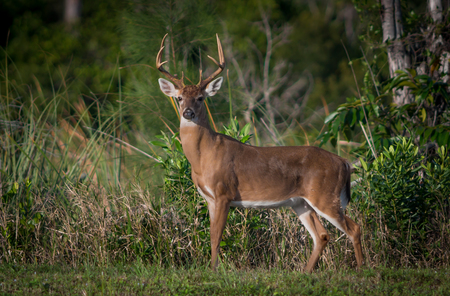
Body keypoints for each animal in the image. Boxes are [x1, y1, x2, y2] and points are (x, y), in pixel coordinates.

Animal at [156, 33, 364, 272]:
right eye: (179, 97)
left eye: (201, 97)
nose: (188, 113)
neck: (203, 157)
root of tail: (344, 162)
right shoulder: (209, 198)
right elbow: (211, 236)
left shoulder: (224, 192)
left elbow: (216, 237)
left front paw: (214, 271)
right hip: (301, 203)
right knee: (321, 235)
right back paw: (306, 272)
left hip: (325, 195)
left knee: (354, 228)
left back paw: (362, 269)